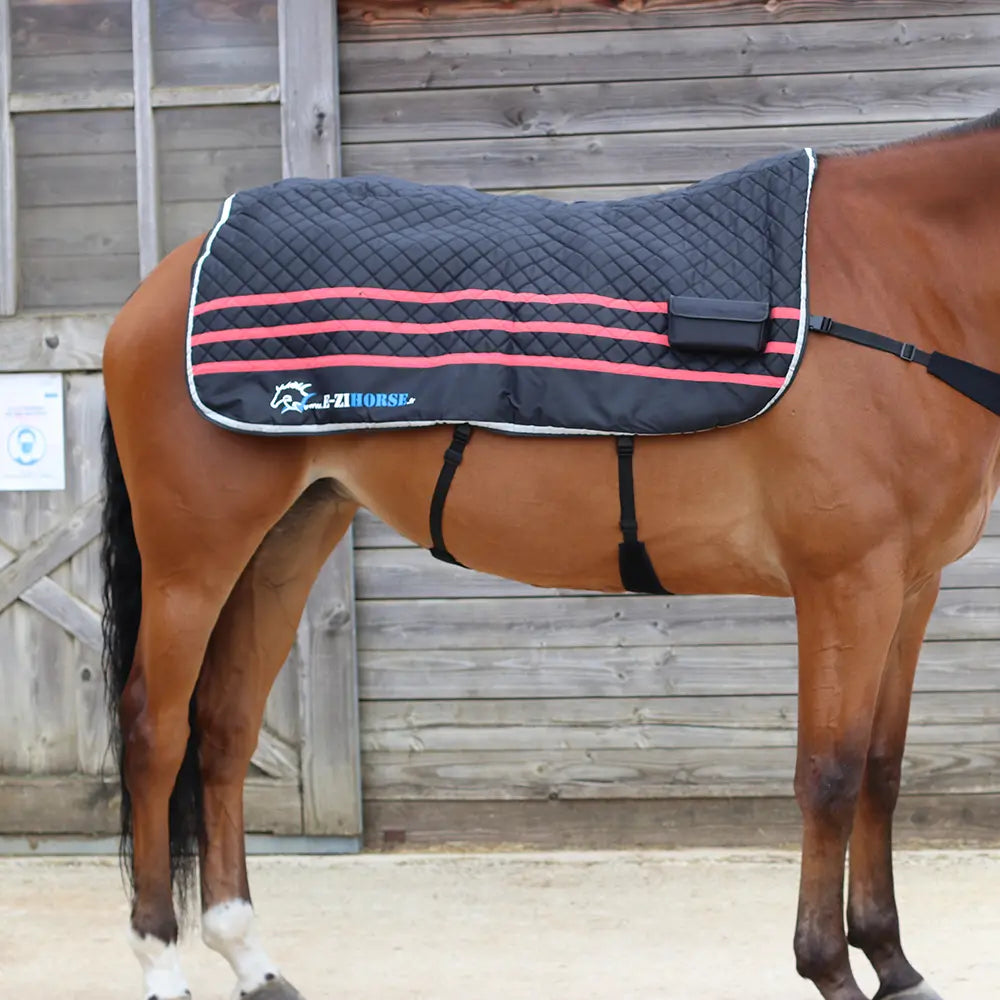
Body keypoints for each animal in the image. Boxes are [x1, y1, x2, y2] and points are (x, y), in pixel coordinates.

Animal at [100, 111, 1000, 1000]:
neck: (901, 291)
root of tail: (166, 279)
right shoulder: (845, 585)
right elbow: (831, 778)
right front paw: (832, 969)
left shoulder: (909, 588)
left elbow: (881, 770)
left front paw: (893, 963)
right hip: (192, 562)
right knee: (155, 732)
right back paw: (161, 961)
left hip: (287, 540)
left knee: (225, 727)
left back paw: (249, 958)